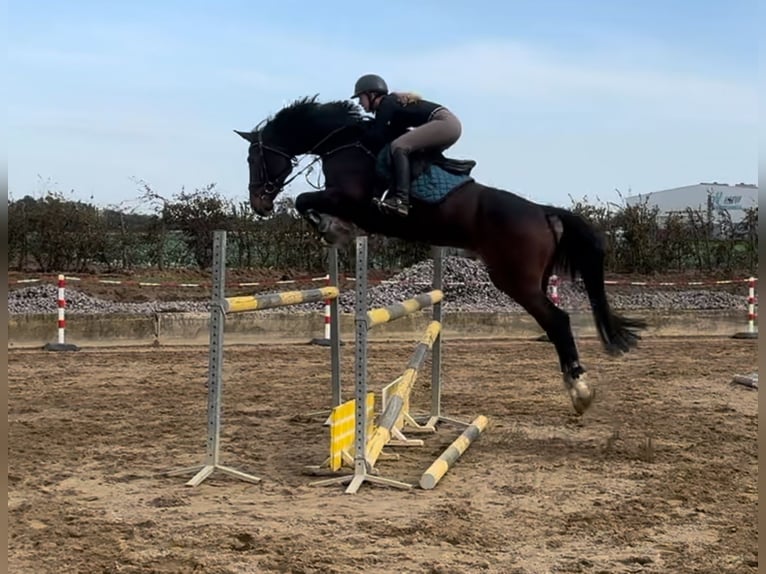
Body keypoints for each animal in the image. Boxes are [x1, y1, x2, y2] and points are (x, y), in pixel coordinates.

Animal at [236, 97, 648, 416]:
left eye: (254, 158)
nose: (258, 204)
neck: (345, 144)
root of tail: (543, 212)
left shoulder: (350, 199)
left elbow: (305, 200)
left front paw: (333, 228)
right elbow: (308, 201)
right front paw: (333, 228)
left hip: (515, 280)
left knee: (558, 321)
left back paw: (580, 392)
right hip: (535, 278)